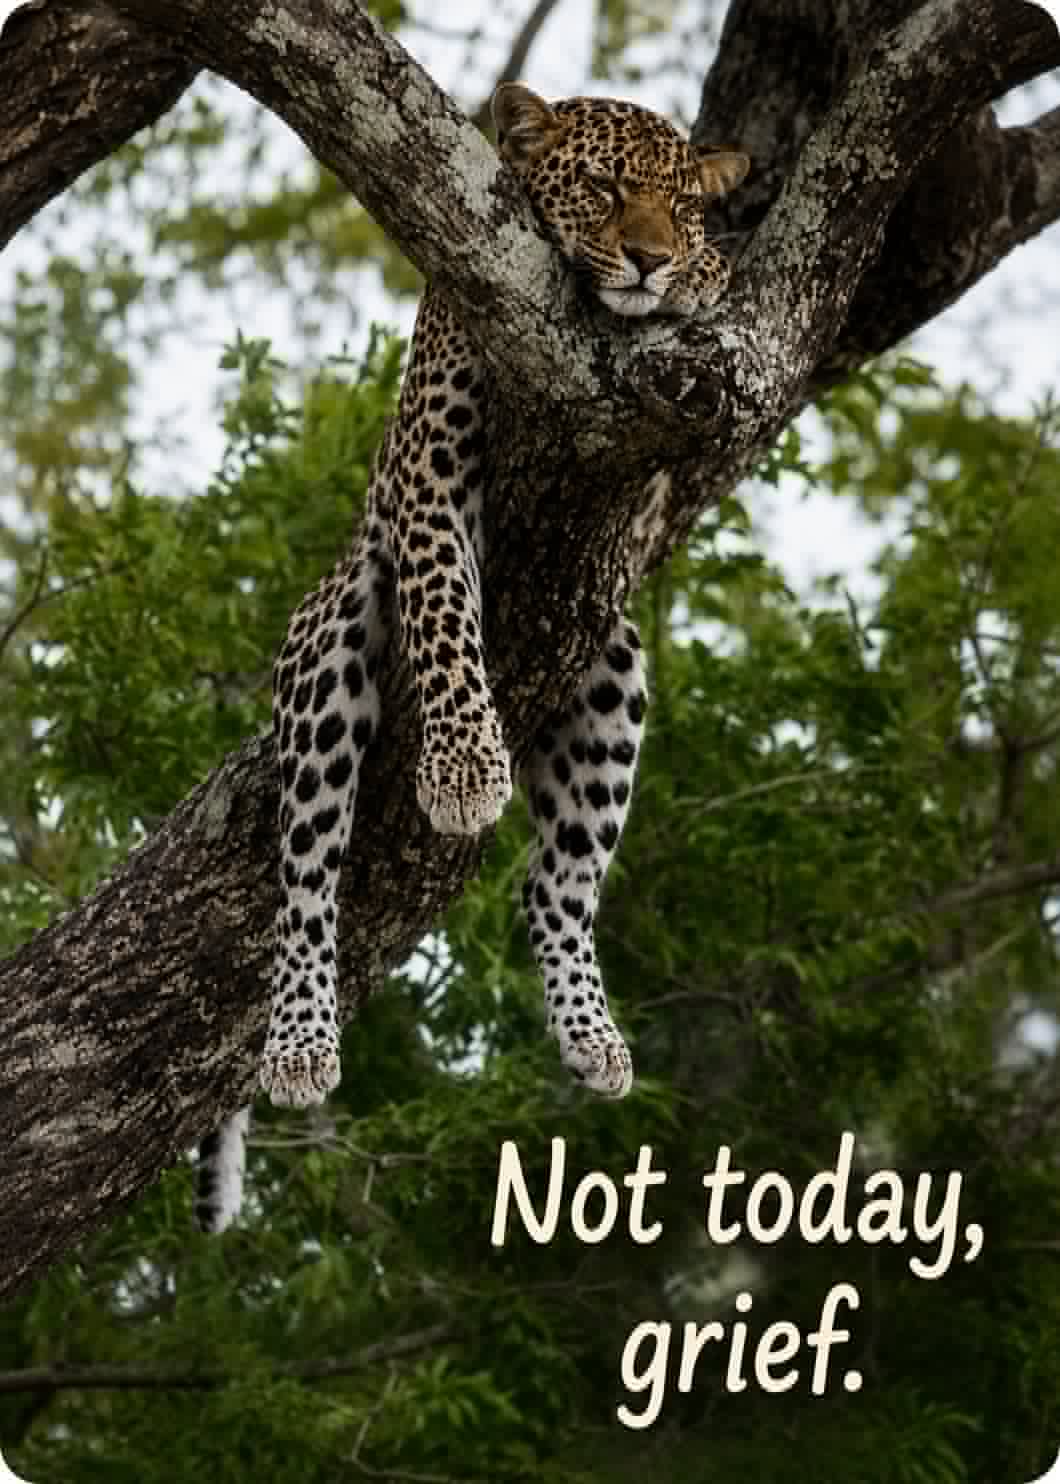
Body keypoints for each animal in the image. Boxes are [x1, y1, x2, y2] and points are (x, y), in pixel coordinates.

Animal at [194, 84, 748, 1233]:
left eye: (678, 207)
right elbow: (448, 611)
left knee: (555, 889)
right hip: (330, 638)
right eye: (601, 188)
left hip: (612, 666)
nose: (647, 259)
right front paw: (460, 768)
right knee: (305, 879)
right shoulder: (429, 472)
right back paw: (301, 1043)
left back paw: (593, 1037)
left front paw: (700, 278)